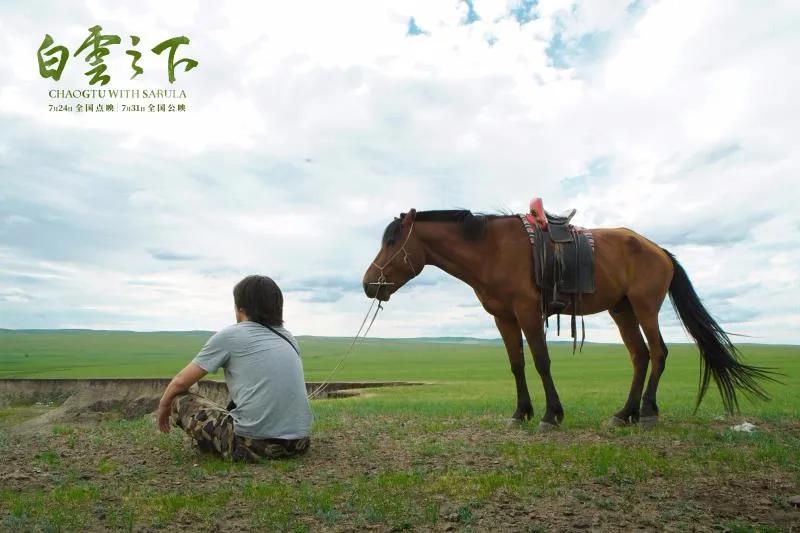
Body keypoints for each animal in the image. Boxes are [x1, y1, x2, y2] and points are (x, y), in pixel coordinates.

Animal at [364, 208, 776, 428]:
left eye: (392, 242)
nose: (369, 284)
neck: (492, 249)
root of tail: (659, 250)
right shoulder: (503, 318)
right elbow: (517, 364)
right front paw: (521, 412)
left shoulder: (528, 312)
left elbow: (542, 361)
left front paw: (551, 415)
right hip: (622, 309)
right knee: (640, 356)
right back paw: (623, 414)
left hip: (645, 306)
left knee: (658, 353)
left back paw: (646, 412)